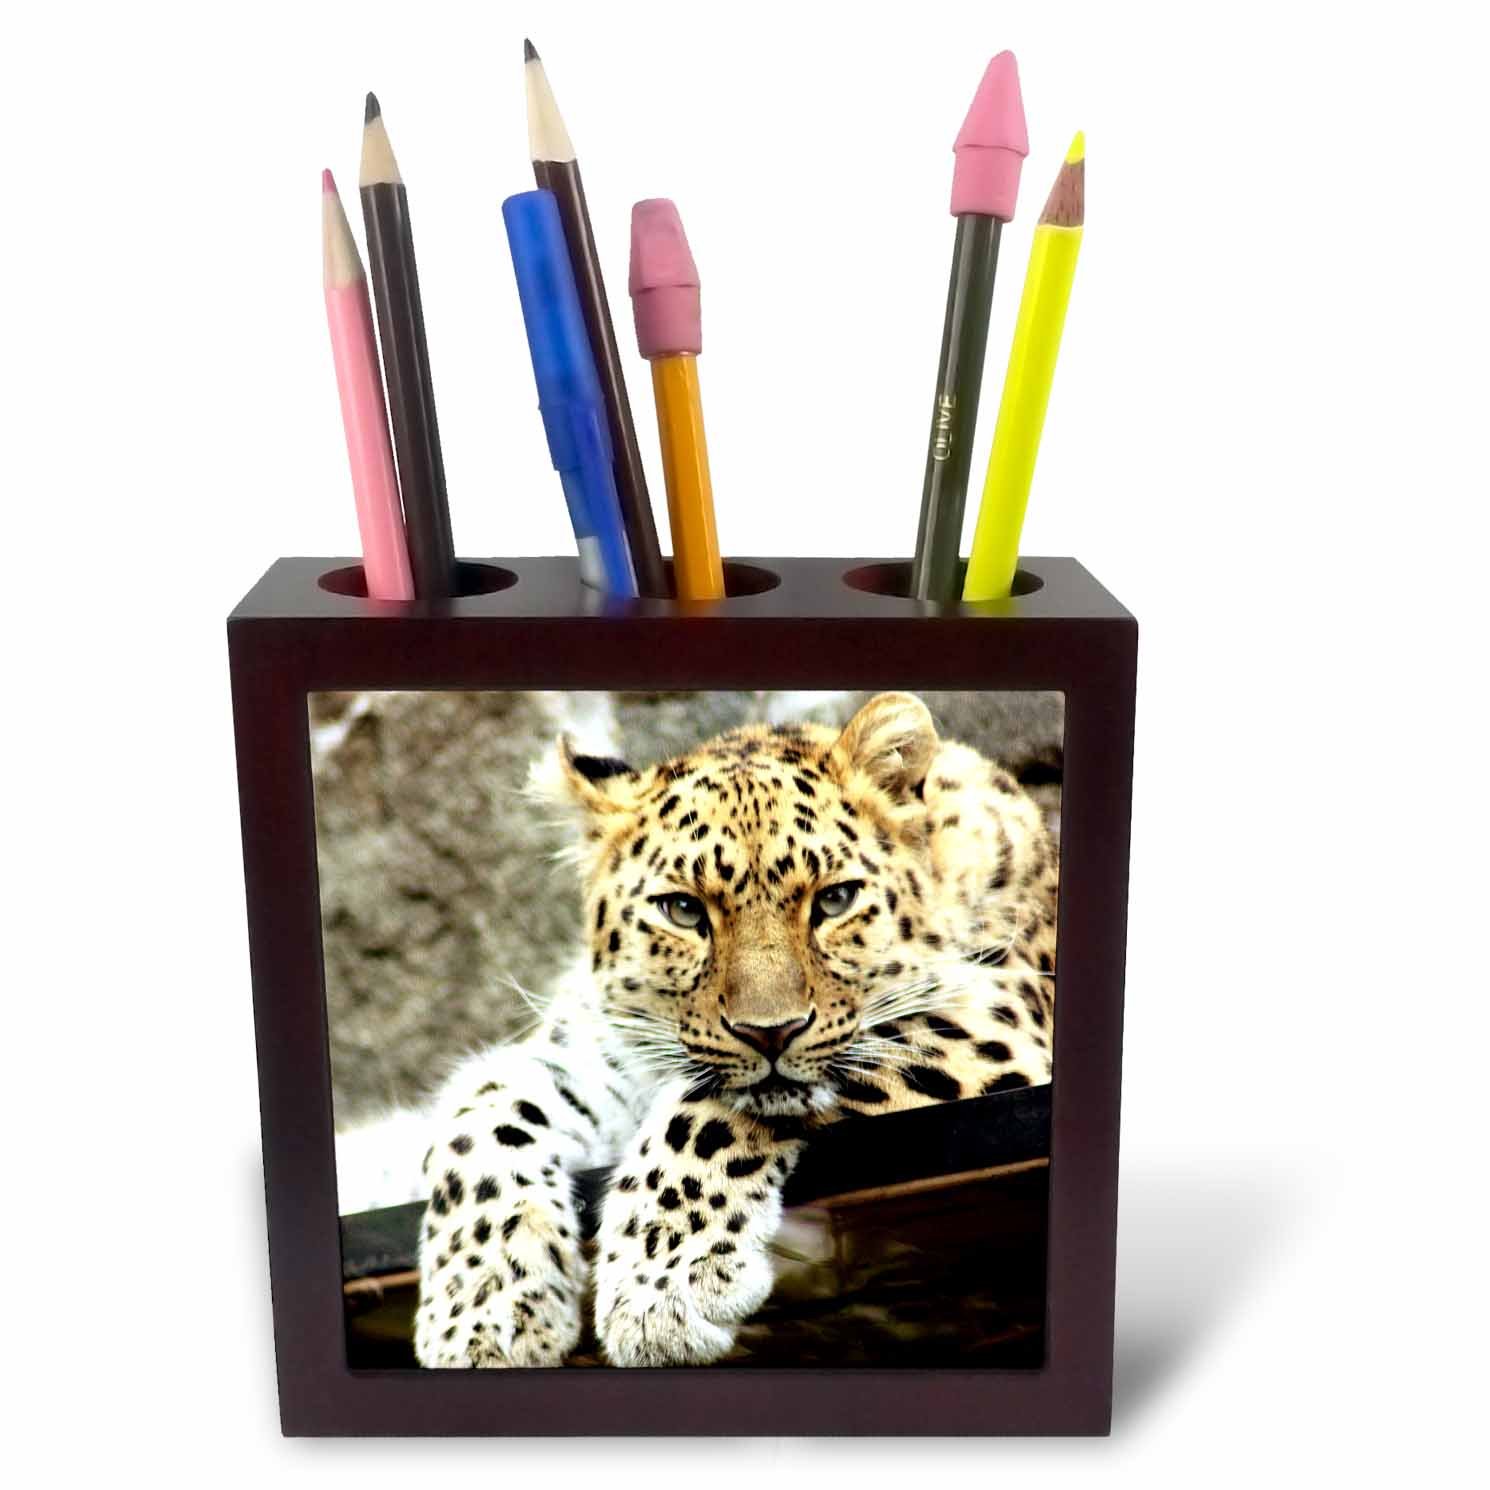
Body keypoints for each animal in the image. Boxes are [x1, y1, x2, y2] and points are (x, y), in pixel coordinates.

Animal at [412, 691, 1057, 1369]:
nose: (770, 1033)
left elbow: (702, 1116)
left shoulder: (996, 1019)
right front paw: (479, 1310)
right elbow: (479, 1118)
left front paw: (660, 1289)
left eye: (835, 900)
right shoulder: (594, 1052)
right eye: (683, 910)